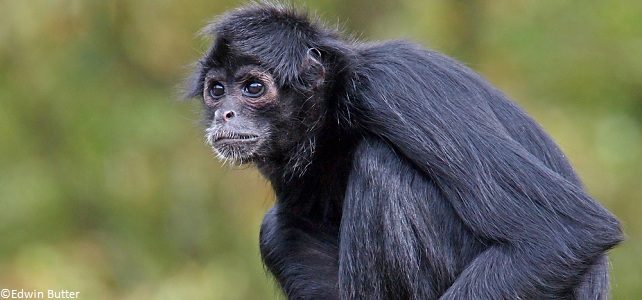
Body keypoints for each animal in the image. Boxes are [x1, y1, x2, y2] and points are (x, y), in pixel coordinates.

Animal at [184, 2, 620, 300]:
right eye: (217, 89)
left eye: (254, 87)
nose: (224, 113)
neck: (338, 102)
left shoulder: (394, 86)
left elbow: (563, 231)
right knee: (279, 229)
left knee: (380, 165)